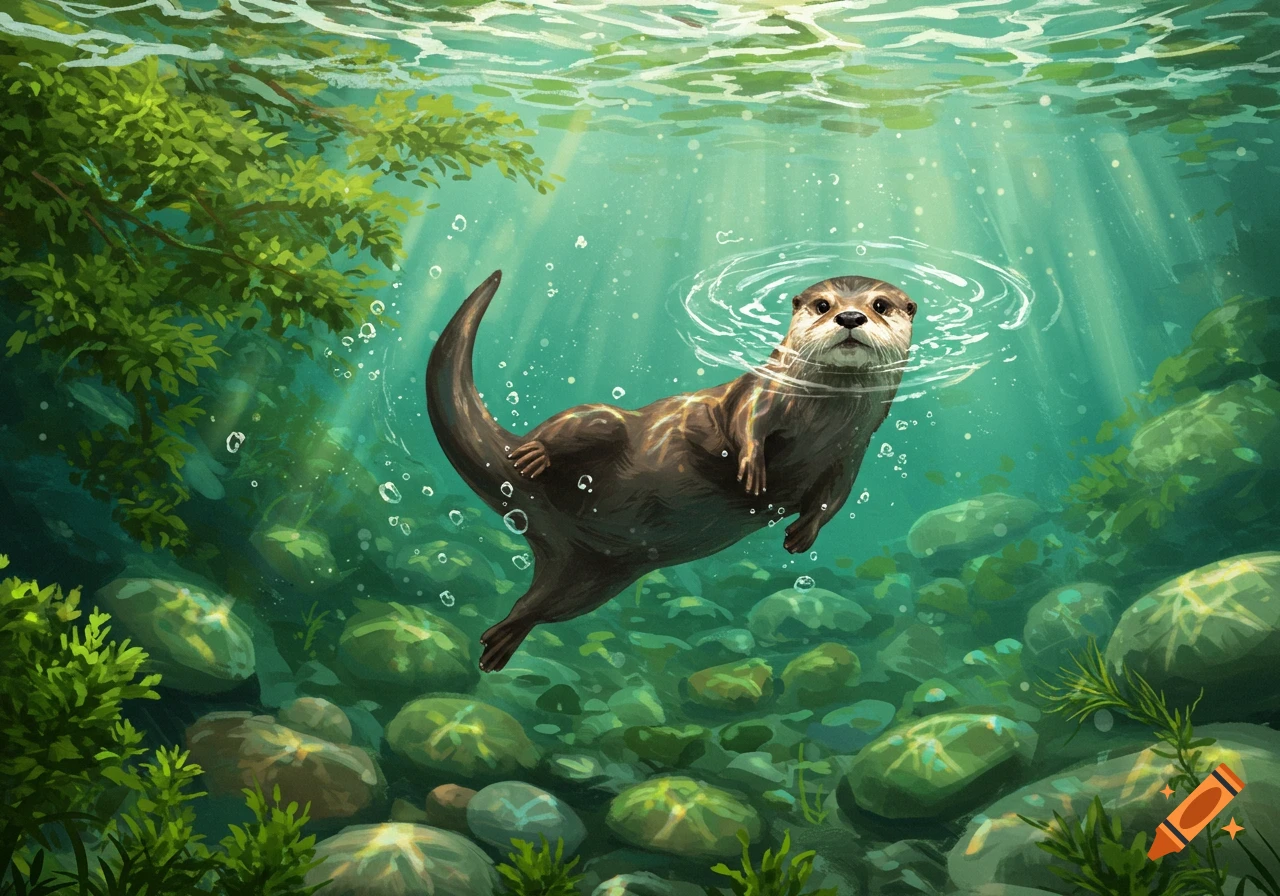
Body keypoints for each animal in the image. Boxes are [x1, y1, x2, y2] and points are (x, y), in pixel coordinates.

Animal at [426, 270, 915, 672]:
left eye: (880, 305)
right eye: (822, 305)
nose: (850, 316)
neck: (822, 419)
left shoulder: (852, 453)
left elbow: (833, 499)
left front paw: (801, 535)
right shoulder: (758, 392)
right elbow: (745, 425)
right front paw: (752, 470)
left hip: (592, 578)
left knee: (541, 605)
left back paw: (501, 639)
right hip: (603, 423)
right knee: (575, 426)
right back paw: (535, 455)